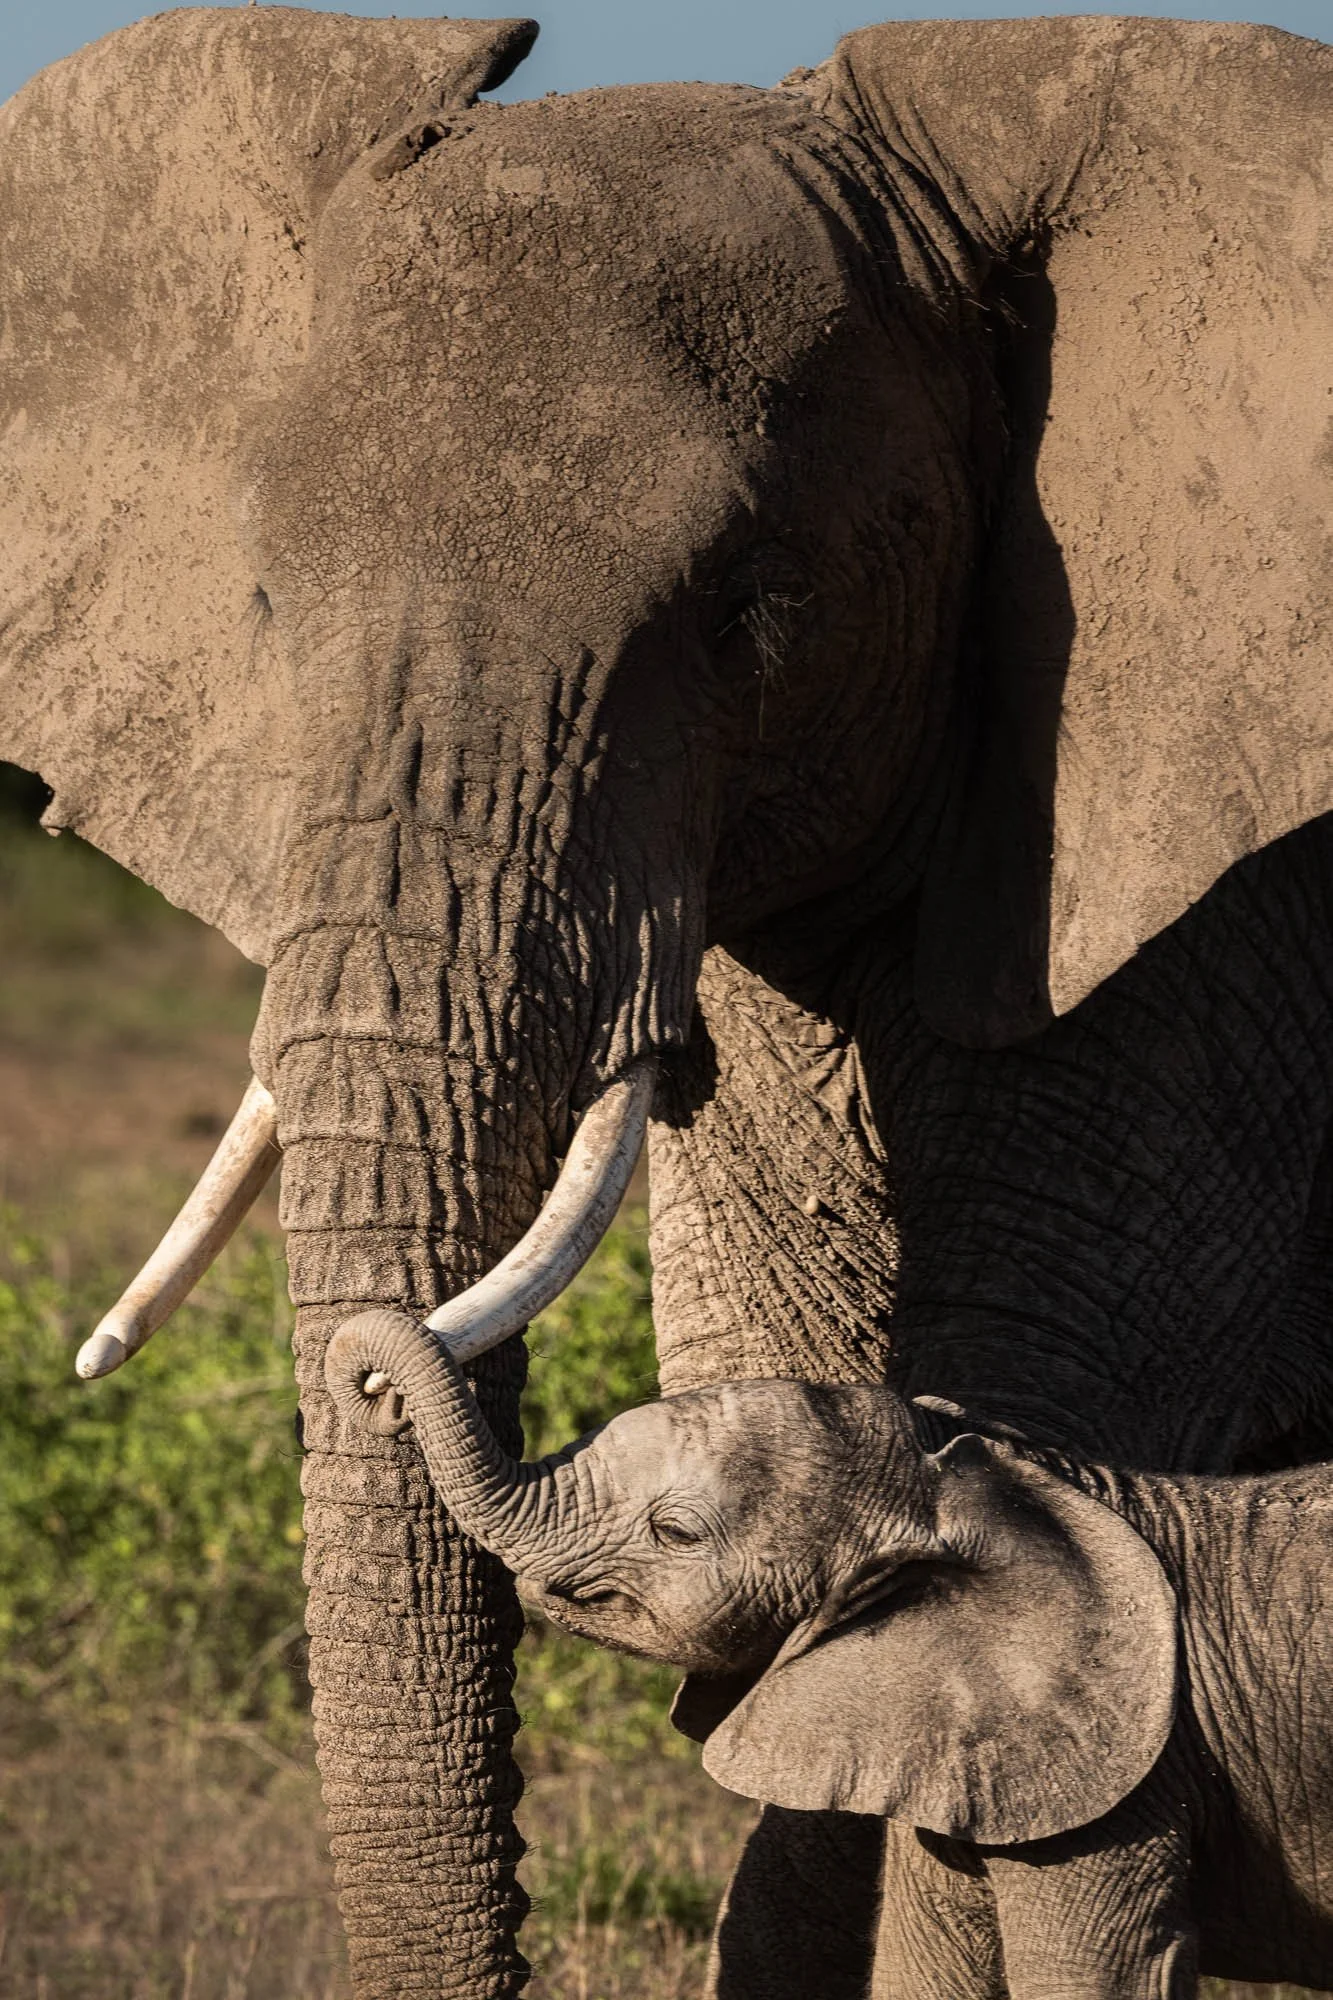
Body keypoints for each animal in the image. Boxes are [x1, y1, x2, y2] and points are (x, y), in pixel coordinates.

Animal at [325, 1306, 1333, 1999]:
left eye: (676, 1533)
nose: (371, 1386)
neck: (989, 1482)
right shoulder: (972, 1740)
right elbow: (931, 1970)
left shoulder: (1128, 1776)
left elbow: (1106, 1975)